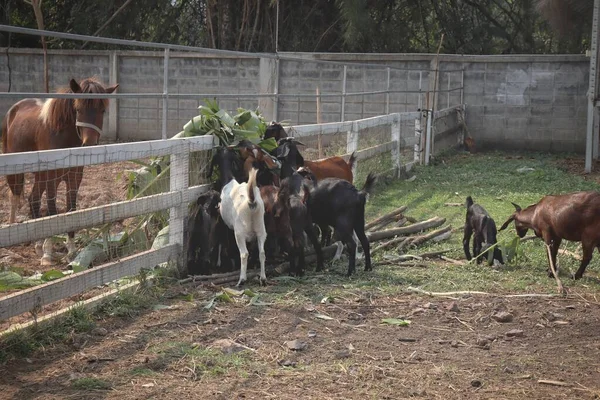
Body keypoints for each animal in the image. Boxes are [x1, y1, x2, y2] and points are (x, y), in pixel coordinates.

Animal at [1, 78, 118, 266]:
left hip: (40, 175)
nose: (89, 144)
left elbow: (70, 209)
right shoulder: (52, 178)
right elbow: (51, 211)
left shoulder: (74, 178)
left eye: (102, 110)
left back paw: (38, 244)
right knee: (16, 196)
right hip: (18, 171)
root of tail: (14, 109)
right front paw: (48, 255)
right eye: (78, 109)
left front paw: (71, 251)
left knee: (33, 199)